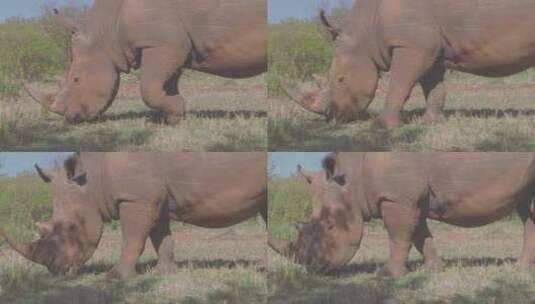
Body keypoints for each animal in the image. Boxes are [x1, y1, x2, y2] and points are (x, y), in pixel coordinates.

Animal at [0, 153, 268, 280]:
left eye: (72, 228)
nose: (57, 272)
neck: (92, 179)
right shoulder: (152, 199)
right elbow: (161, 238)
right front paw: (163, 273)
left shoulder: (135, 198)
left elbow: (132, 239)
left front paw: (115, 278)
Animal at [25, 0, 268, 124]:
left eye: (76, 79)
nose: (72, 118)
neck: (106, 29)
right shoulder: (169, 44)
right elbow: (167, 84)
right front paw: (172, 117)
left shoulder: (161, 44)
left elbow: (148, 89)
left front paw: (176, 111)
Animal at [270, 153, 535, 276]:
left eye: (329, 226)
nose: (313, 269)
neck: (352, 177)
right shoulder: (407, 199)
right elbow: (419, 236)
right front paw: (433, 269)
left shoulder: (396, 198)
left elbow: (399, 236)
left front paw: (387, 275)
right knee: (527, 211)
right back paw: (522, 268)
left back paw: (520, 268)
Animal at [284, 0, 535, 128]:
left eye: (341, 79)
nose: (331, 118)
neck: (365, 30)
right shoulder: (428, 48)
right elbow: (433, 88)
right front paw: (430, 122)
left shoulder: (412, 46)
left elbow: (399, 84)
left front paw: (382, 126)